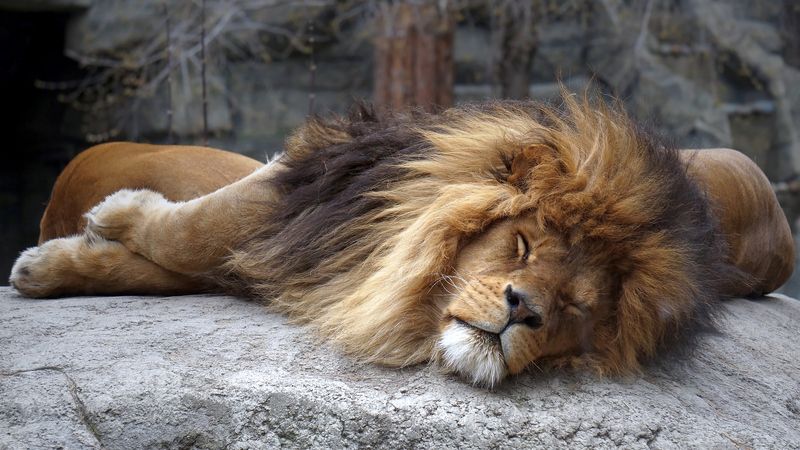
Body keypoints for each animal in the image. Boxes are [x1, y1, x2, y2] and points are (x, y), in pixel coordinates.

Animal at [9, 94, 795, 386]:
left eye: (575, 309)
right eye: (522, 248)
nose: (523, 309)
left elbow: (181, 251)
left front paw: (74, 249)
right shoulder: (316, 196)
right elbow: (192, 231)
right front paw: (101, 227)